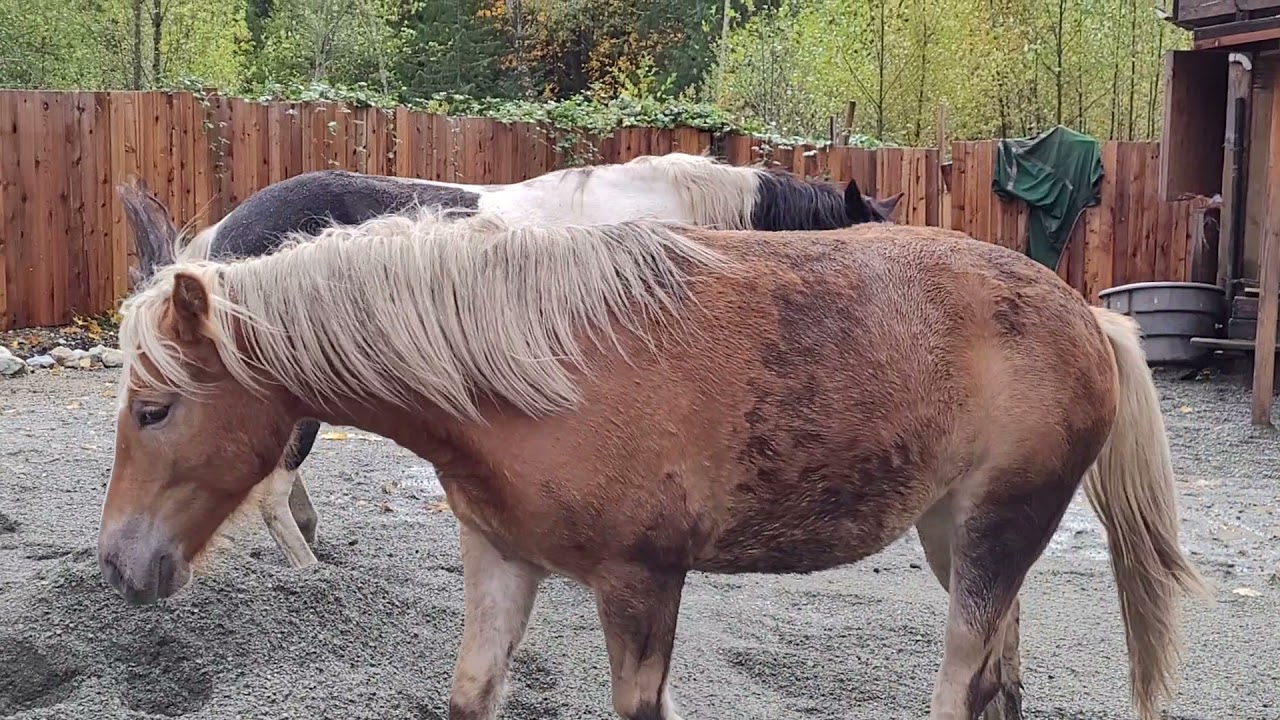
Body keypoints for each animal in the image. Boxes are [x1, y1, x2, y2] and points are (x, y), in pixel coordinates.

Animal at [100, 208, 1207, 720]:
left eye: (155, 408)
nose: (118, 563)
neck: (530, 371)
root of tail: (1085, 315)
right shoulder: (502, 561)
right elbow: (471, 690)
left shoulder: (639, 583)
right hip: (958, 534)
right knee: (998, 678)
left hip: (992, 533)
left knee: (959, 681)